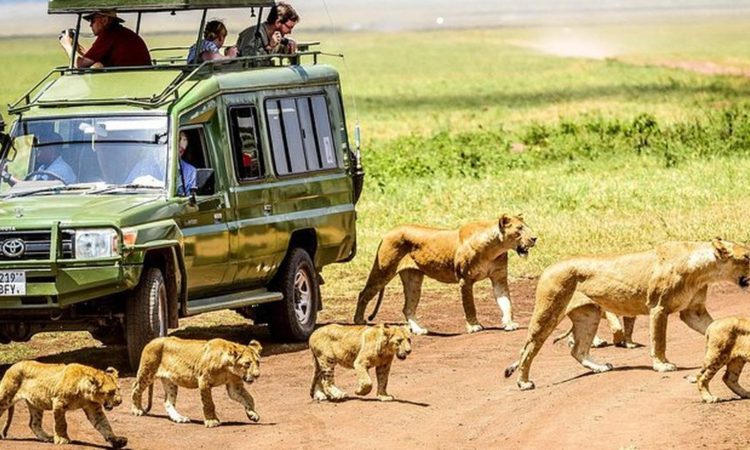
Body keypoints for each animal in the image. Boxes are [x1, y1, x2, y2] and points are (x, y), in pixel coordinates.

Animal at [131, 336, 262, 428]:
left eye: (258, 362)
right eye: (247, 363)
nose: (257, 375)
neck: (228, 367)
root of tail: (151, 340)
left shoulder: (234, 386)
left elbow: (248, 398)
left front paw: (252, 414)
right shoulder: (204, 381)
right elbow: (209, 403)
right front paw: (212, 421)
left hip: (170, 381)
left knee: (168, 401)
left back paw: (179, 418)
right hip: (147, 372)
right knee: (135, 388)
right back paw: (137, 410)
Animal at [353, 215, 537, 335]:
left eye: (527, 227)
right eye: (519, 229)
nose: (535, 238)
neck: (494, 248)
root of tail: (388, 232)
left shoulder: (499, 278)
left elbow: (506, 302)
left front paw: (509, 323)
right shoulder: (465, 279)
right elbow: (469, 305)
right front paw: (474, 326)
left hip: (413, 279)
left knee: (408, 307)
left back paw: (418, 330)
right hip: (384, 270)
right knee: (364, 293)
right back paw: (359, 321)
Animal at [505, 239, 750, 391]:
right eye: (747, 256)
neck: (703, 270)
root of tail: (548, 267)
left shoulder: (693, 311)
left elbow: (712, 326)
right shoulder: (658, 307)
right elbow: (659, 341)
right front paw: (662, 365)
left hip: (589, 316)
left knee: (578, 349)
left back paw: (600, 367)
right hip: (549, 311)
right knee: (528, 348)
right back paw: (524, 383)